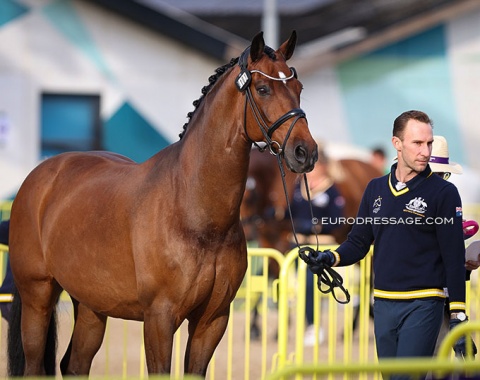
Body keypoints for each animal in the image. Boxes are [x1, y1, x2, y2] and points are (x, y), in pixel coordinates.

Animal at [6, 30, 318, 378]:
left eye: (298, 89)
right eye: (263, 89)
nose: (305, 152)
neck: (194, 214)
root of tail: (40, 176)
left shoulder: (212, 321)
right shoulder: (159, 319)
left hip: (90, 306)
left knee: (73, 365)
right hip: (38, 298)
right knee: (35, 365)